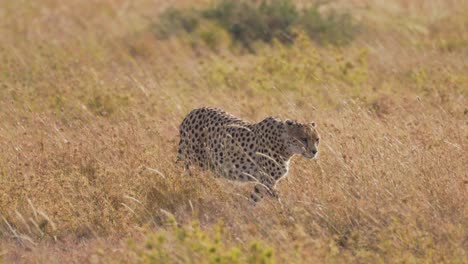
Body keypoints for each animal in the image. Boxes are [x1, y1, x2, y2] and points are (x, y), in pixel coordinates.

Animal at [177, 106, 320, 202]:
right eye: (304, 139)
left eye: (317, 139)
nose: (314, 151)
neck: (284, 145)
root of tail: (193, 111)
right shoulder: (266, 180)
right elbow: (274, 199)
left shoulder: (265, 182)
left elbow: (255, 198)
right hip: (196, 163)